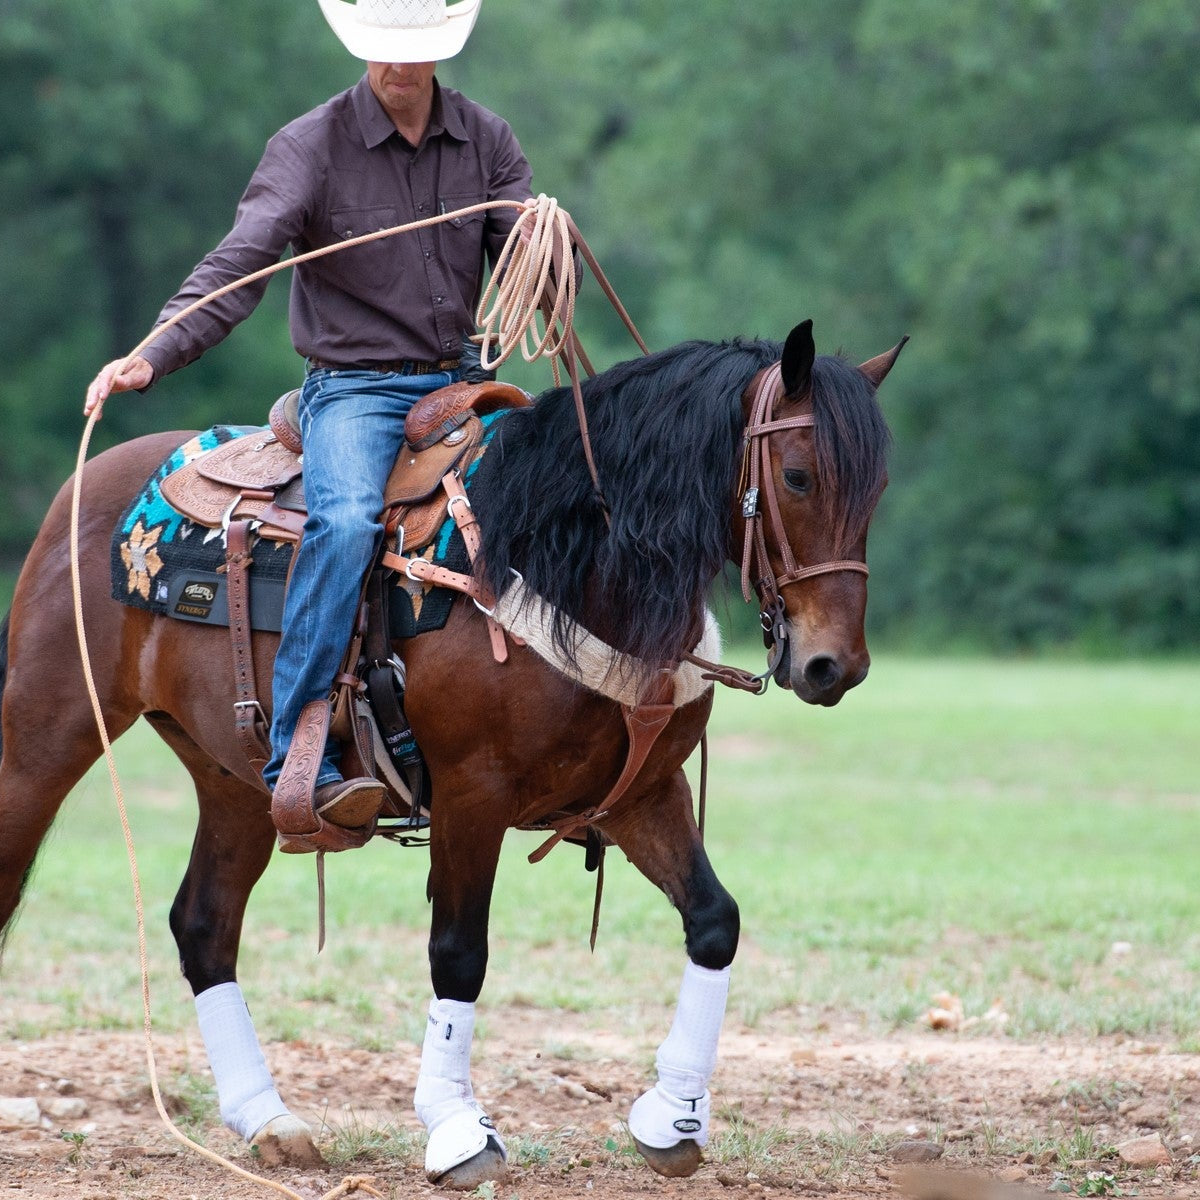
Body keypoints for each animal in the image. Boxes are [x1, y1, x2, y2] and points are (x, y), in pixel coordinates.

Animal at [0, 320, 901, 1187]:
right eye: (798, 477)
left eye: (876, 491)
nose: (835, 666)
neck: (562, 563)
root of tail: (93, 479)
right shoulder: (475, 795)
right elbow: (458, 954)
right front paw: (460, 1130)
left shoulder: (647, 793)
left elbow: (714, 922)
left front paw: (672, 1117)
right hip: (44, 734)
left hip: (238, 781)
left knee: (205, 924)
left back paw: (270, 1122)